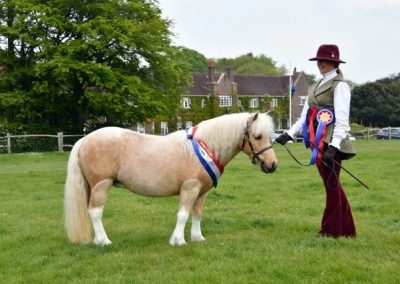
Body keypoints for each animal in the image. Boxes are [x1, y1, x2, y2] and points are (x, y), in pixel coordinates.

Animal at [65, 112, 278, 245]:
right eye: (257, 136)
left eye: (270, 136)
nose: (272, 164)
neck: (204, 147)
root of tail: (84, 140)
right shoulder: (190, 188)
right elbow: (183, 214)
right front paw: (178, 240)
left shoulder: (202, 192)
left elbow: (197, 214)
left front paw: (197, 238)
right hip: (101, 185)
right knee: (95, 212)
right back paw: (104, 241)